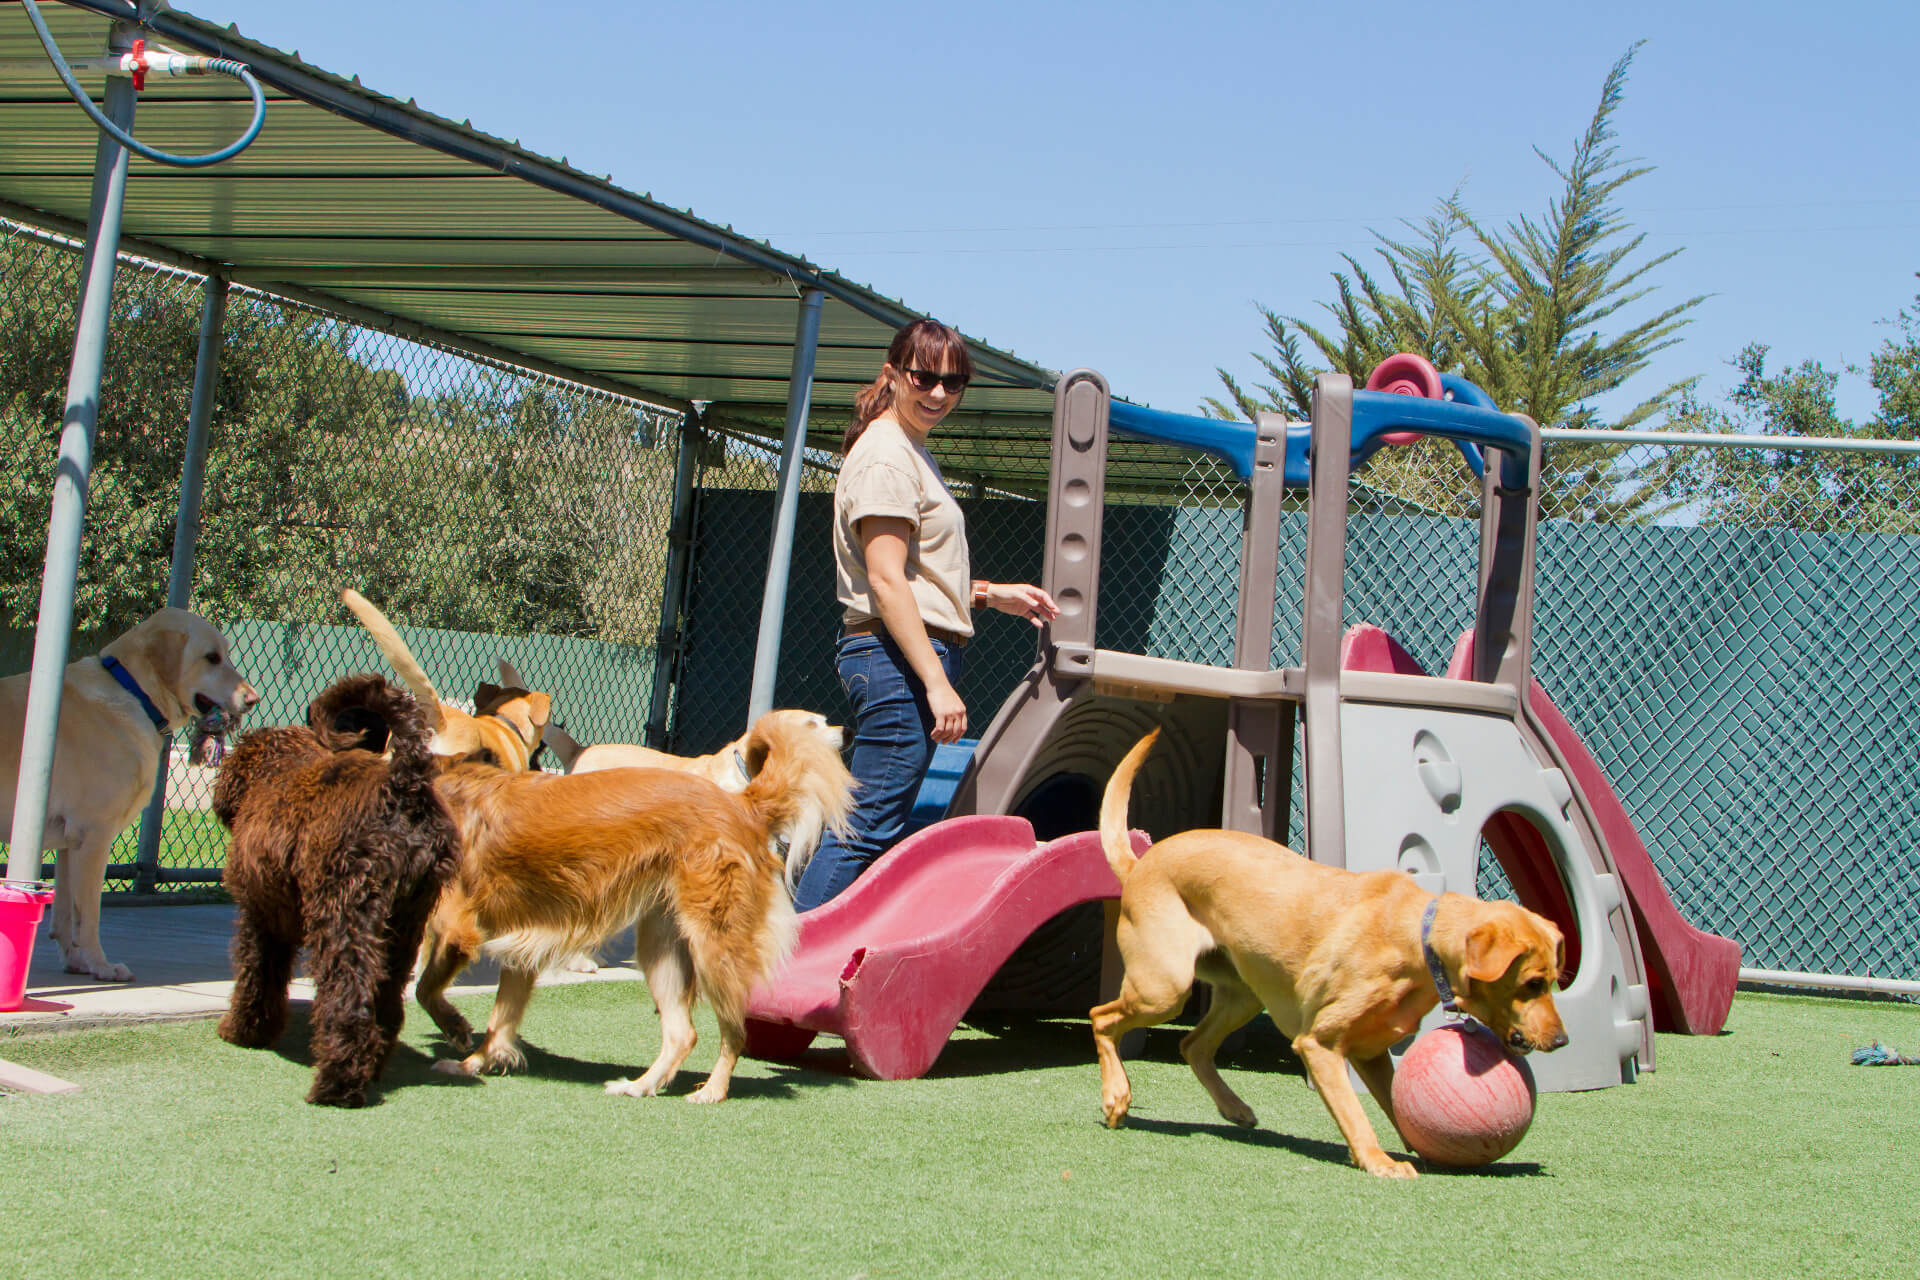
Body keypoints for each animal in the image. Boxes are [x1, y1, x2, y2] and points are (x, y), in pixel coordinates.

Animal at [213, 675, 460, 1105]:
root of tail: (403, 785)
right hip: (405, 922)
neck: (278, 769)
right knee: (387, 1001)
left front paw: (244, 1031)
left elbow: (255, 975)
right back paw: (372, 1067)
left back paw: (336, 1084)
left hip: (344, 913)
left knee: (349, 999)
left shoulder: (260, 916)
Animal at [1090, 729, 1566, 1182]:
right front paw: (1379, 1161)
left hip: (1243, 995)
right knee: (1102, 1018)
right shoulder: (1320, 1044)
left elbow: (1395, 1107)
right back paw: (1116, 1097)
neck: (1417, 936)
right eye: (1532, 983)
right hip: (1165, 988)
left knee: (1192, 1044)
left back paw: (1234, 1107)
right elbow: (1355, 1114)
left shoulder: (1372, 1052)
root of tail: (1140, 864)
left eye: (1552, 982)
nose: (1561, 1040)